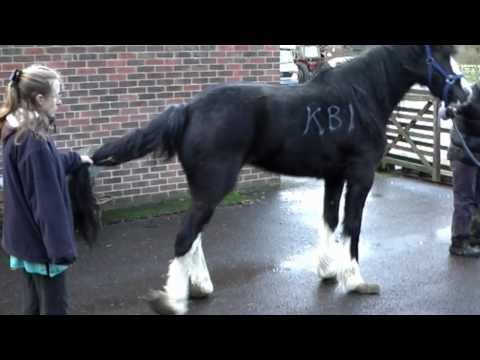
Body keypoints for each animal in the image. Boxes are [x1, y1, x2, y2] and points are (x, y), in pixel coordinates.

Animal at [89, 45, 468, 316]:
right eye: (441, 54)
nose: (465, 95)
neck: (361, 94)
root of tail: (188, 110)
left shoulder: (334, 177)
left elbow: (330, 221)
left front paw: (327, 272)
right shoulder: (361, 176)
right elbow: (353, 226)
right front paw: (356, 281)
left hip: (203, 190)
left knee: (193, 236)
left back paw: (199, 287)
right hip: (214, 188)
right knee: (185, 236)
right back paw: (173, 301)